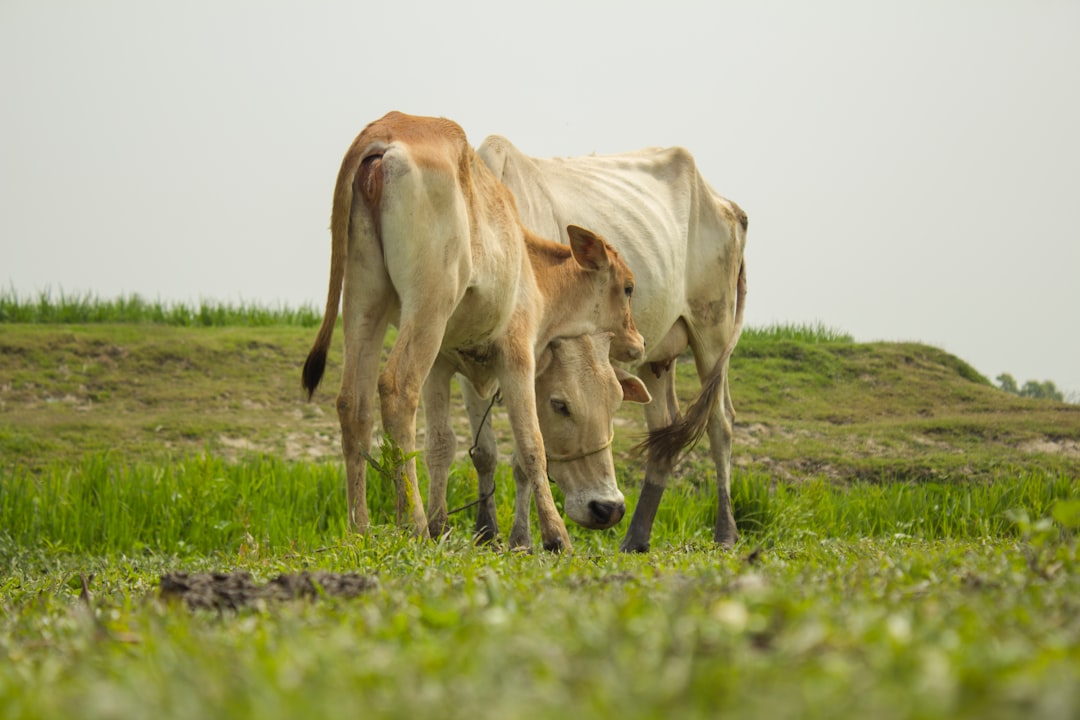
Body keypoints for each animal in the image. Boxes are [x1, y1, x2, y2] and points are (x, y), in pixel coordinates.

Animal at [300, 111, 643, 552]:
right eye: (628, 287)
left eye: (615, 401)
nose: (637, 343)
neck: (532, 267)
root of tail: (386, 130)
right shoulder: (517, 354)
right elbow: (531, 445)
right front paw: (554, 536)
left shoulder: (445, 365)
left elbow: (443, 445)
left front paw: (445, 524)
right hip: (428, 305)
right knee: (397, 388)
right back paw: (413, 524)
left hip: (363, 301)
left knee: (353, 404)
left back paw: (361, 528)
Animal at [473, 136, 751, 552]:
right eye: (561, 406)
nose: (608, 509)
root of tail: (727, 205)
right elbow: (484, 452)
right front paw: (485, 533)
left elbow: (523, 457)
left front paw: (521, 538)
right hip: (658, 358)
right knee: (664, 431)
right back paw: (636, 537)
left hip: (713, 329)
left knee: (721, 423)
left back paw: (726, 532)